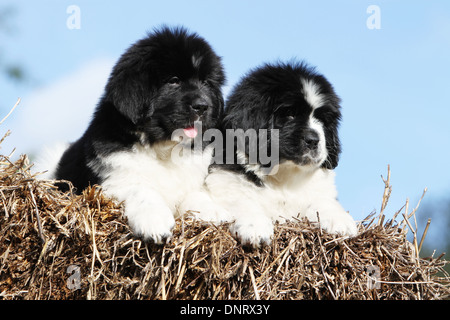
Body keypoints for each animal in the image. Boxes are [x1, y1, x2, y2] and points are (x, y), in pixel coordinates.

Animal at [50, 26, 225, 242]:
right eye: (174, 81)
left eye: (205, 82)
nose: (202, 106)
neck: (163, 148)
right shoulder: (113, 179)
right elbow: (140, 189)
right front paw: (154, 221)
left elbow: (196, 194)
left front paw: (213, 212)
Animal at [206, 62, 356, 248]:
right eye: (290, 114)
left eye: (321, 119)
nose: (314, 140)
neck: (284, 176)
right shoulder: (225, 182)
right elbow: (242, 201)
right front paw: (254, 226)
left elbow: (323, 201)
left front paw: (340, 220)